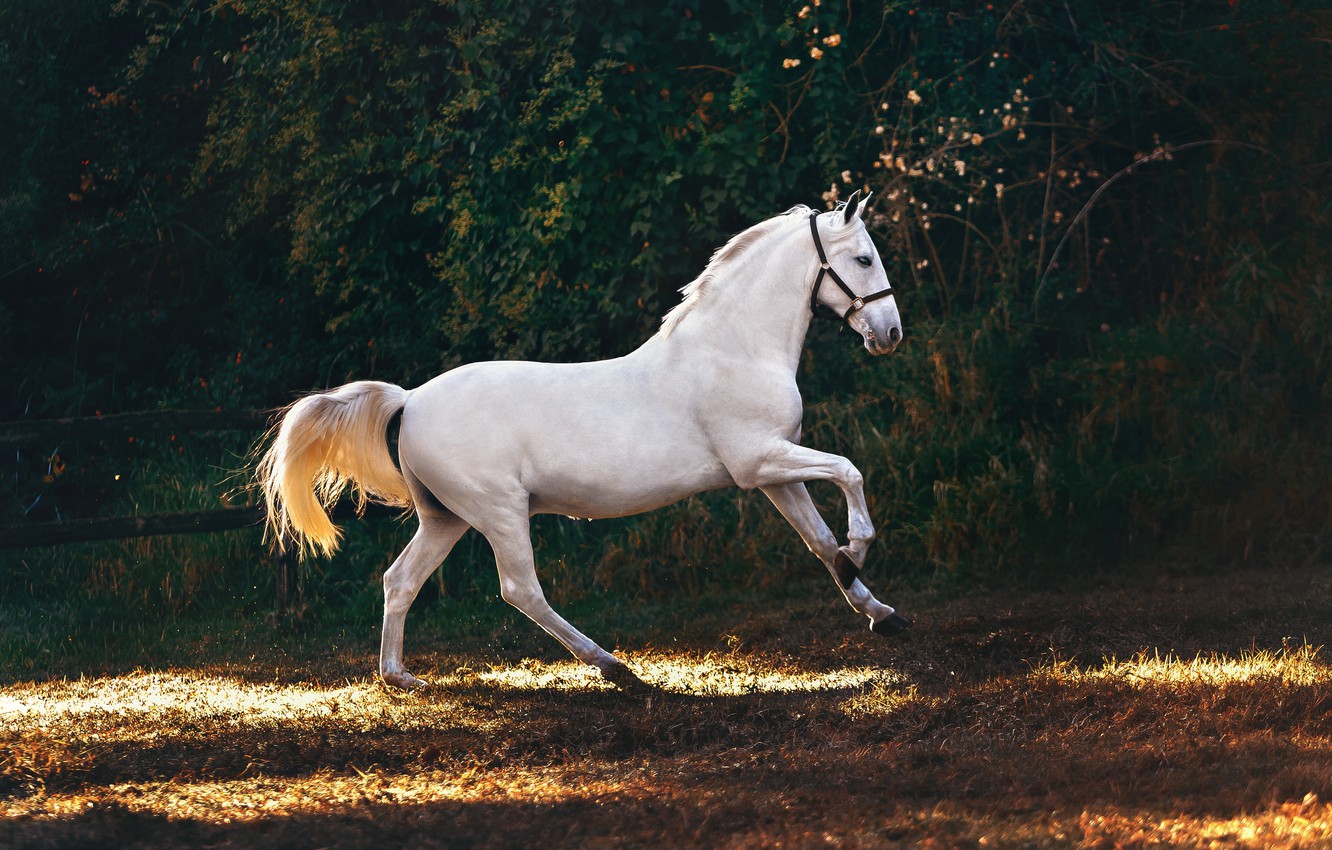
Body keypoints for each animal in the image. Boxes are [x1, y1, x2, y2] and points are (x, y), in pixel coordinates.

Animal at [256, 190, 911, 691]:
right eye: (863, 258)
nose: (890, 334)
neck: (735, 349)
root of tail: (411, 400)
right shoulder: (760, 463)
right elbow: (849, 472)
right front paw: (861, 548)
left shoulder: (775, 473)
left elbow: (820, 542)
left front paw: (880, 611)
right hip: (498, 511)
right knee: (521, 589)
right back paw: (616, 668)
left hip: (446, 517)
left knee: (400, 580)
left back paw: (400, 677)